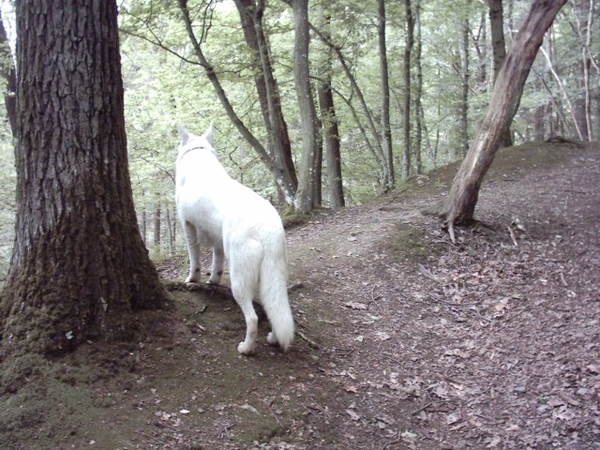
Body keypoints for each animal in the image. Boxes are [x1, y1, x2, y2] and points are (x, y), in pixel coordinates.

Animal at [175, 124, 294, 356]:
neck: (198, 153)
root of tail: (267, 227)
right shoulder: (217, 240)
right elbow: (217, 263)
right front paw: (213, 281)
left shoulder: (188, 225)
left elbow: (194, 260)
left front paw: (193, 280)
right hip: (271, 276)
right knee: (273, 310)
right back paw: (273, 339)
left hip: (240, 279)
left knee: (253, 318)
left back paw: (246, 348)